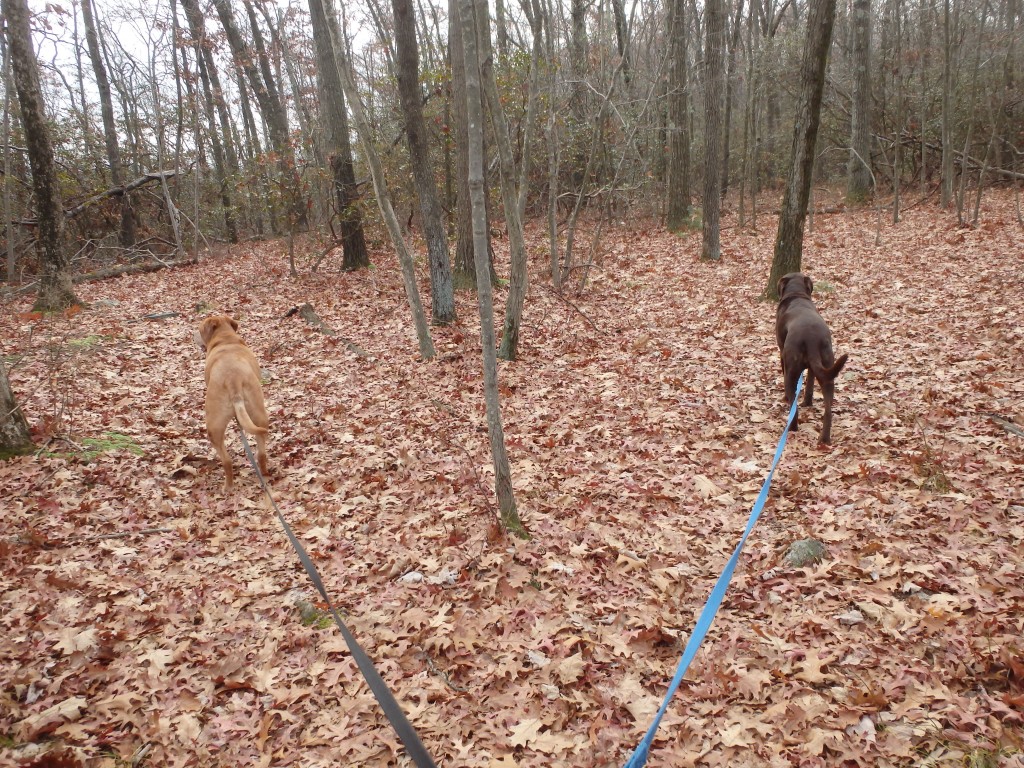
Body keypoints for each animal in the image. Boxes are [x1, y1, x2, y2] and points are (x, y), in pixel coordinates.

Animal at [774, 274, 847, 444]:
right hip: (828, 369)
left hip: (791, 371)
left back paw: (792, 427)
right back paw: (824, 439)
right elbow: (810, 383)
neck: (796, 294)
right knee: (828, 410)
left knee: (793, 407)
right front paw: (808, 402)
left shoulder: (782, 354)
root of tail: (811, 338)